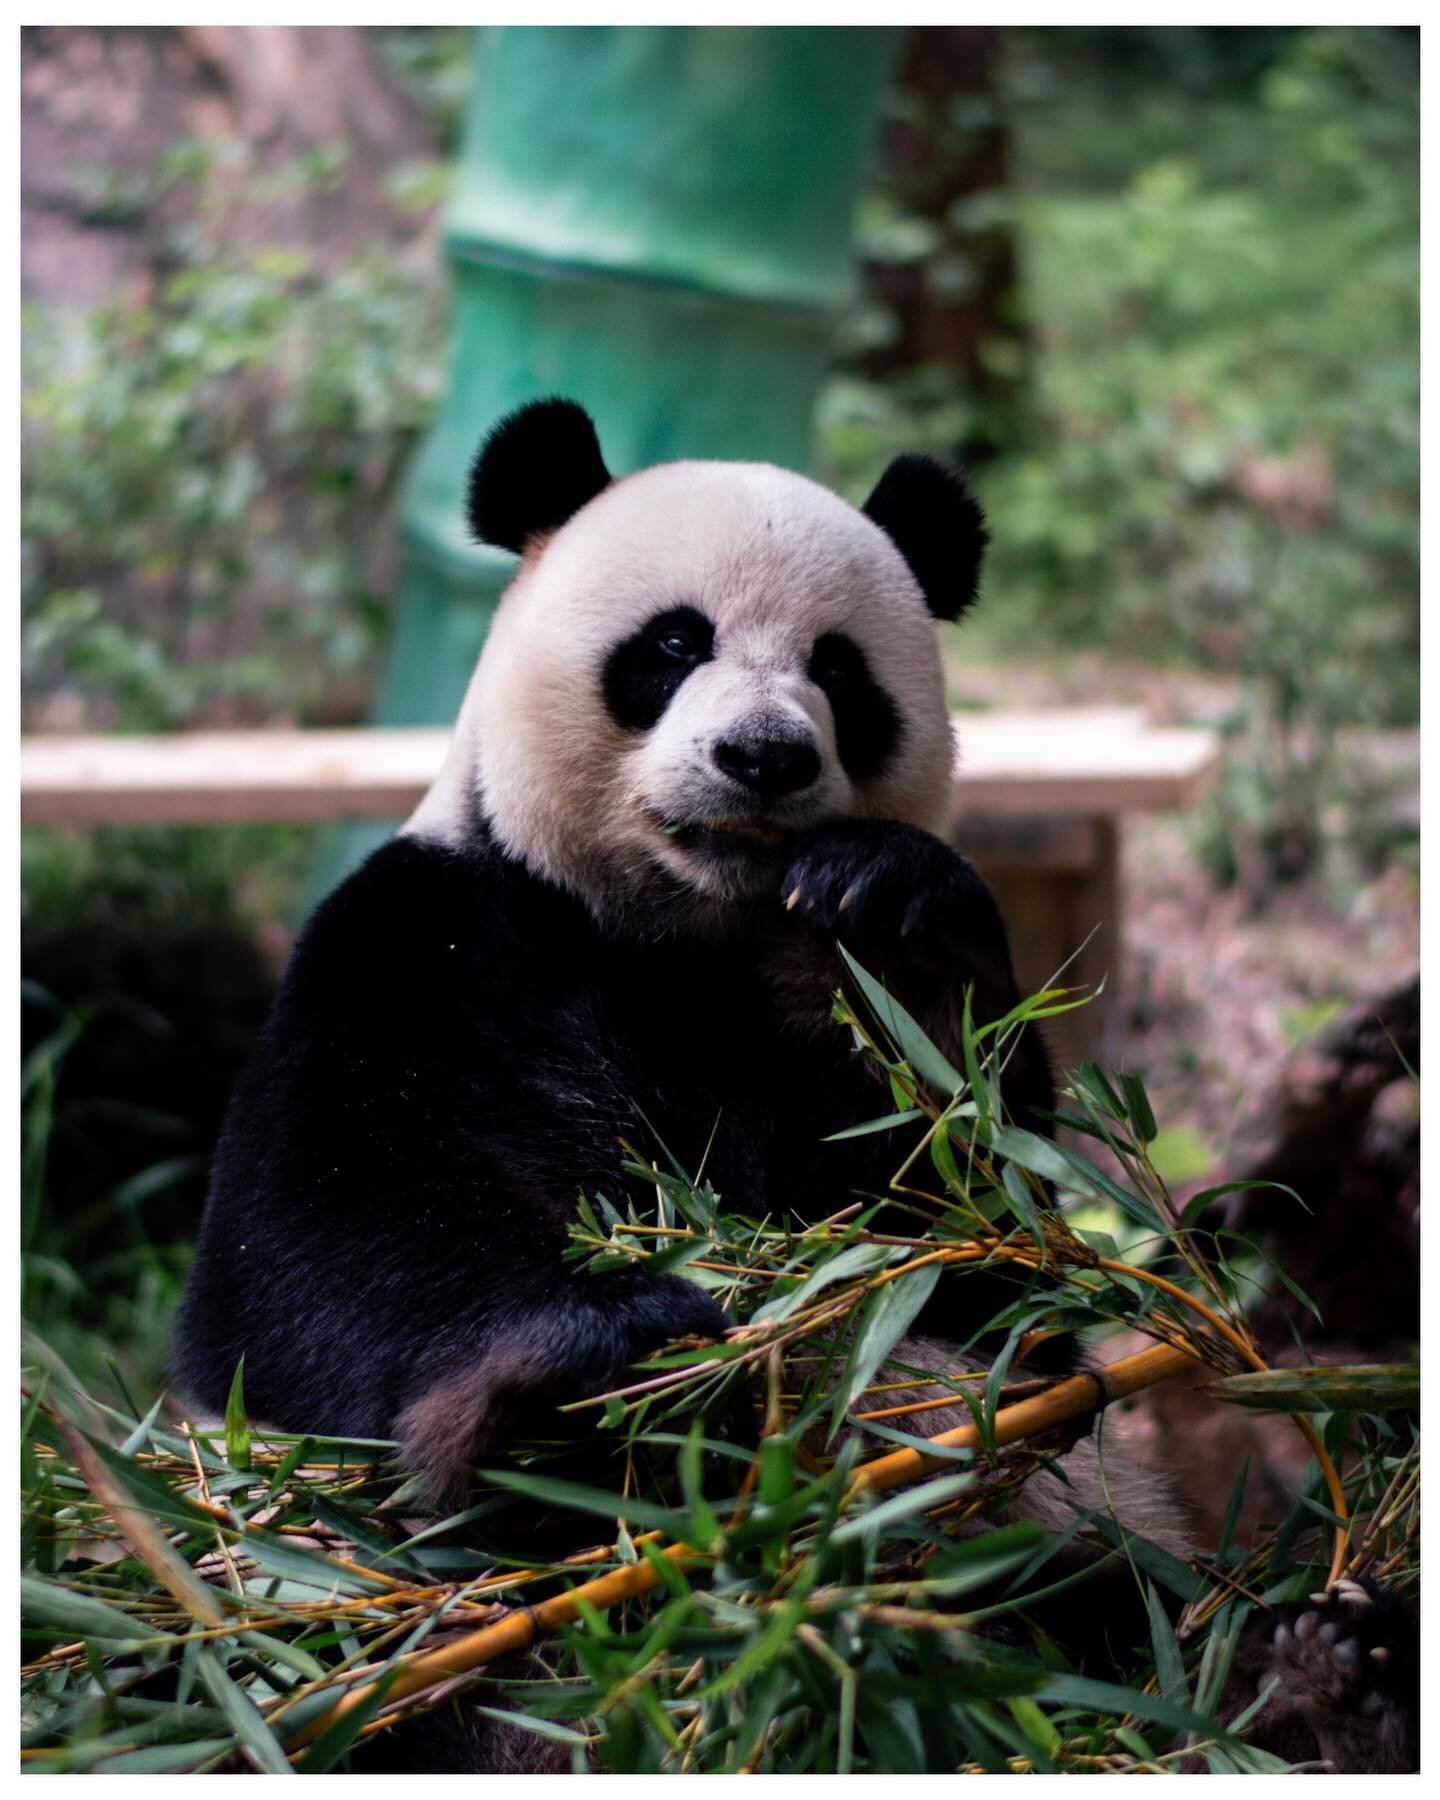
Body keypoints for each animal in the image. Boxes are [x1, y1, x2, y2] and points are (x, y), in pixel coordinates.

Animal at [173, 399, 1416, 1773]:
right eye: (674, 643)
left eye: (841, 673)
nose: (764, 756)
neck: (674, 933)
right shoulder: (424, 943)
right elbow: (317, 1245)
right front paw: (594, 1363)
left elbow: (981, 1257)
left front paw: (895, 925)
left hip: (1026, 1528)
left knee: (1093, 1600)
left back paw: (1318, 1673)